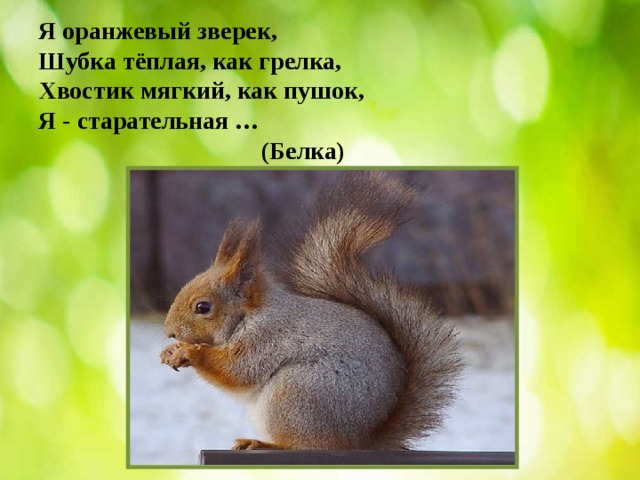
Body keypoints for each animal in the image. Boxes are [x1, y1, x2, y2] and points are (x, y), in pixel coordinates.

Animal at [160, 171, 461, 450]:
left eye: (203, 307)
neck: (250, 316)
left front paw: (189, 353)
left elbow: (237, 371)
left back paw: (262, 443)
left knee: (301, 445)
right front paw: (171, 351)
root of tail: (359, 441)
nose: (169, 332)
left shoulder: (264, 340)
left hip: (297, 392)